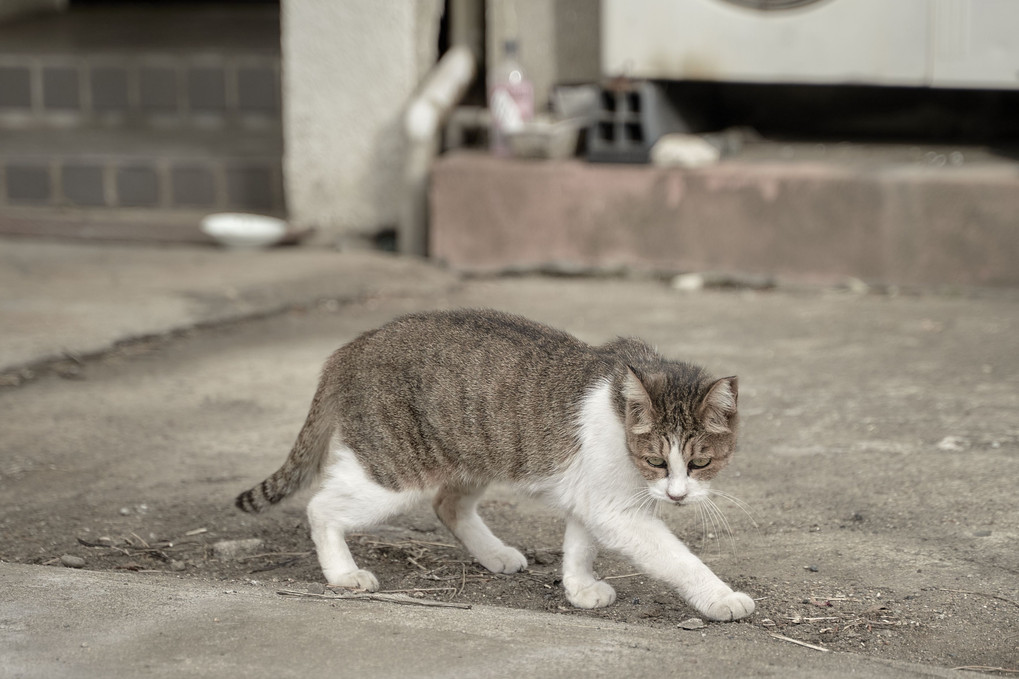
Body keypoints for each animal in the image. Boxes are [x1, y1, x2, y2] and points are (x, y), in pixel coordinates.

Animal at [234, 305, 754, 619]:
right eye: (657, 461)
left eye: (700, 464)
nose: (678, 495)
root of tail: (352, 347)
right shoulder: (616, 508)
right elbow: (678, 558)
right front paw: (720, 597)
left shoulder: (593, 497)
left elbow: (579, 546)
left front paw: (579, 588)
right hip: (393, 472)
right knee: (321, 508)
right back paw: (343, 574)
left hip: (470, 455)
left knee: (448, 505)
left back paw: (494, 553)